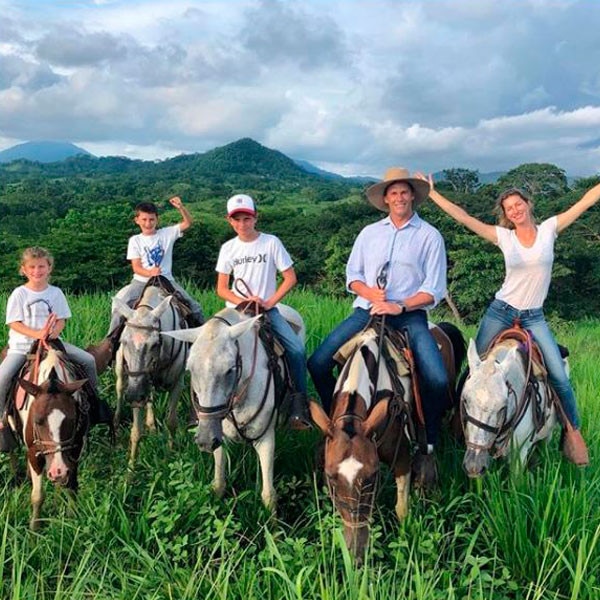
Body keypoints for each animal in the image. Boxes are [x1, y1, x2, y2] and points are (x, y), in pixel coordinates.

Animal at [112, 284, 188, 466]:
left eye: (155, 344)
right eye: (123, 341)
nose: (133, 395)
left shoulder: (178, 383)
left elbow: (171, 422)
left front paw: (170, 455)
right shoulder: (135, 385)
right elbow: (136, 431)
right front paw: (131, 469)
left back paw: (152, 425)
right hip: (122, 375)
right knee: (120, 391)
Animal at [163, 304, 304, 510]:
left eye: (230, 369)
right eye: (190, 369)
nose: (205, 441)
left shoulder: (266, 438)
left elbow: (269, 495)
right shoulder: (219, 435)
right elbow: (218, 484)